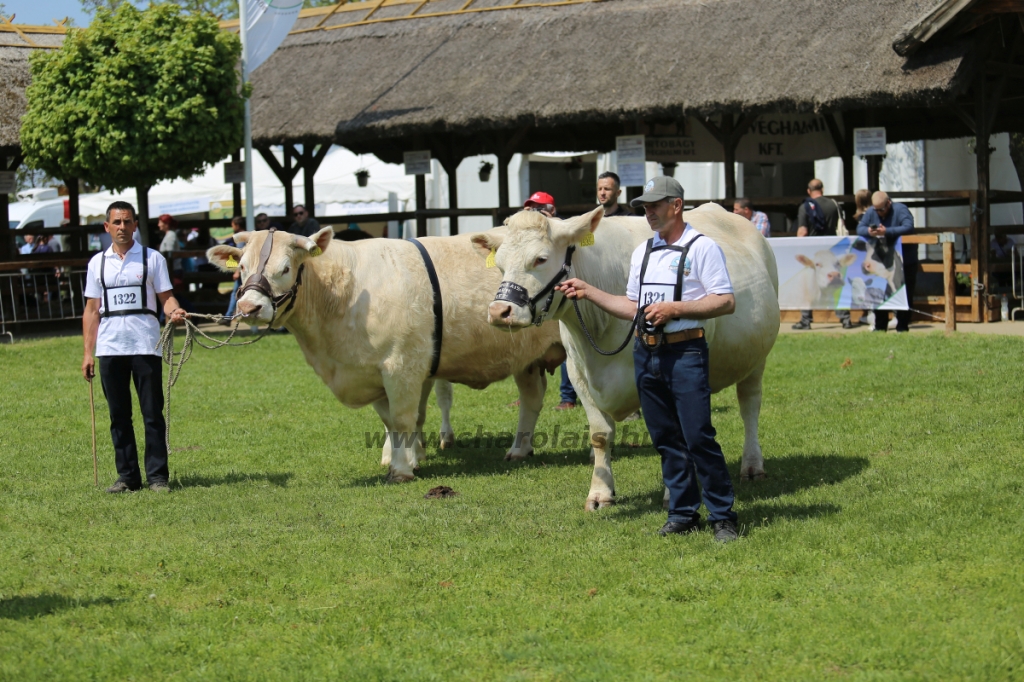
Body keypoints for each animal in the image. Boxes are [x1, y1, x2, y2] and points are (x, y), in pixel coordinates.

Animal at [205, 228, 561, 477]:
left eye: (284, 269)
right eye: (242, 267)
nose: (249, 307)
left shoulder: (402, 365)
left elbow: (404, 418)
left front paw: (402, 470)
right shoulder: (371, 371)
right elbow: (390, 421)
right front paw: (401, 459)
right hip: (527, 358)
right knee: (531, 398)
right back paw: (520, 449)